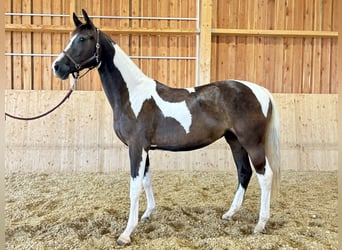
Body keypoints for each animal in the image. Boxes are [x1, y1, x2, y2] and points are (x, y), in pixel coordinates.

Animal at [51, 10, 280, 246]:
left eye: (82, 39)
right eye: (71, 37)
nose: (57, 67)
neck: (132, 94)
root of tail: (261, 91)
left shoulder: (136, 147)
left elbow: (134, 186)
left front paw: (126, 233)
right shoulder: (145, 148)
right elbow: (146, 180)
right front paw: (147, 214)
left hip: (251, 142)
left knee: (265, 175)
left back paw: (260, 224)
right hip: (234, 140)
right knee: (244, 172)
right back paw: (229, 214)